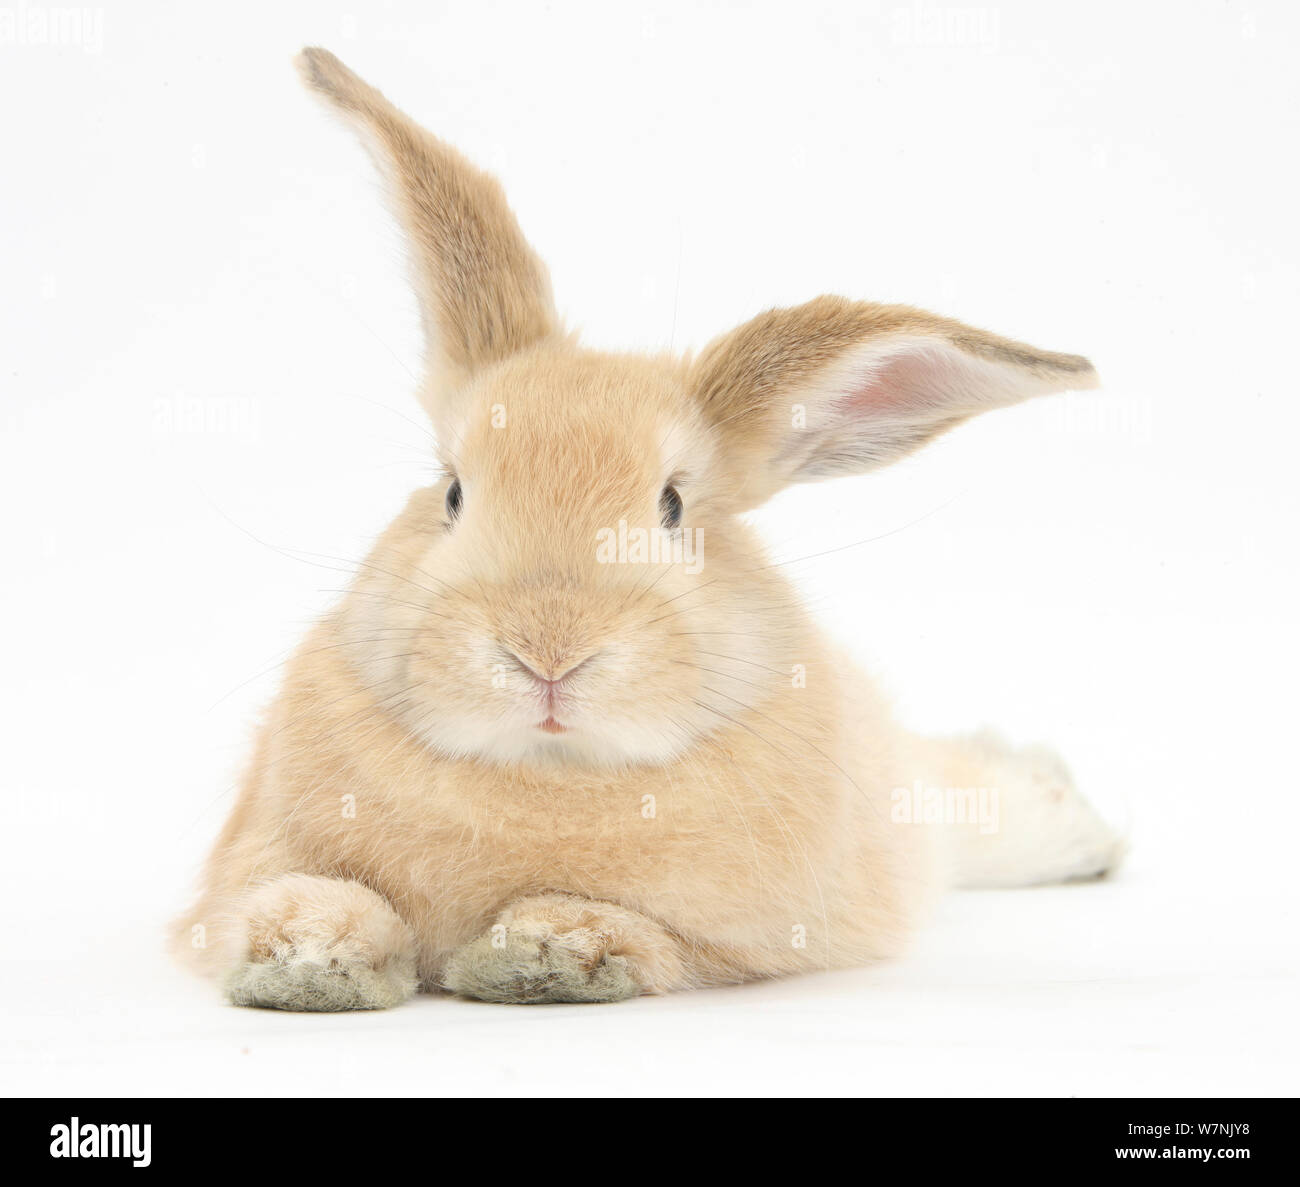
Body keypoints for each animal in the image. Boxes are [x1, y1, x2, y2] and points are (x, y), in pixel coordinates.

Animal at [174, 47, 1124, 1010]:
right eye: (452, 493)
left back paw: (1076, 825)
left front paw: (544, 949)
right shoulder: (239, 868)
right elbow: (289, 897)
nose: (547, 653)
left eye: (672, 507)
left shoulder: (749, 940)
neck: (547, 773)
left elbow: (658, 942)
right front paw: (308, 951)